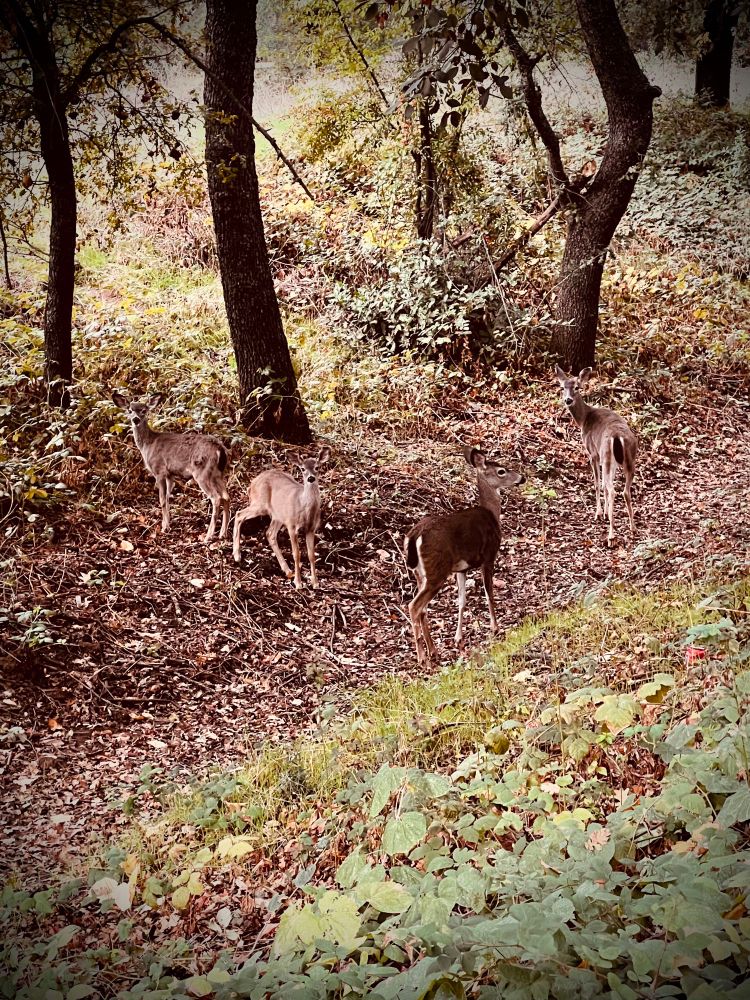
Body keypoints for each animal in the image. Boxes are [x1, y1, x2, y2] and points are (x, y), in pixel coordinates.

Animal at [112, 392, 230, 544]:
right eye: (129, 410)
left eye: (144, 410)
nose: (135, 420)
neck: (148, 444)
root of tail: (219, 449)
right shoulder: (170, 474)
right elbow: (168, 498)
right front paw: (167, 524)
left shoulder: (159, 470)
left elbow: (162, 500)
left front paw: (164, 528)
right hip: (218, 473)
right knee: (226, 496)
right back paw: (223, 533)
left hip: (202, 471)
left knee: (216, 498)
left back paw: (208, 536)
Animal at [232, 447, 331, 589]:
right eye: (302, 468)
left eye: (317, 467)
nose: (311, 478)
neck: (305, 508)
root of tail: (252, 484)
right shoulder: (291, 525)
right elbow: (296, 554)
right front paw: (298, 583)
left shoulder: (311, 528)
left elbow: (311, 555)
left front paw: (315, 583)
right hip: (260, 504)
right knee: (239, 514)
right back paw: (237, 555)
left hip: (277, 515)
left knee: (270, 533)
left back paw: (287, 570)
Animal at [404, 447, 525, 666]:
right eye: (501, 471)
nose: (522, 478)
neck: (492, 515)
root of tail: (415, 535)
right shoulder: (489, 556)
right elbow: (488, 592)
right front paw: (495, 628)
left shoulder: (461, 569)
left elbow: (461, 601)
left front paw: (458, 638)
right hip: (437, 570)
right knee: (414, 606)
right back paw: (423, 658)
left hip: (420, 573)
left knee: (422, 608)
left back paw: (433, 651)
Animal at [554, 366, 637, 546]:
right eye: (562, 387)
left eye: (577, 387)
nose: (568, 400)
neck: (584, 419)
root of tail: (617, 436)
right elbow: (605, 485)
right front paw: (606, 513)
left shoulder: (593, 453)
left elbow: (597, 484)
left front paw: (599, 513)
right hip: (629, 458)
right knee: (624, 491)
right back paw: (633, 527)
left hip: (606, 454)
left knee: (612, 490)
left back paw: (611, 536)